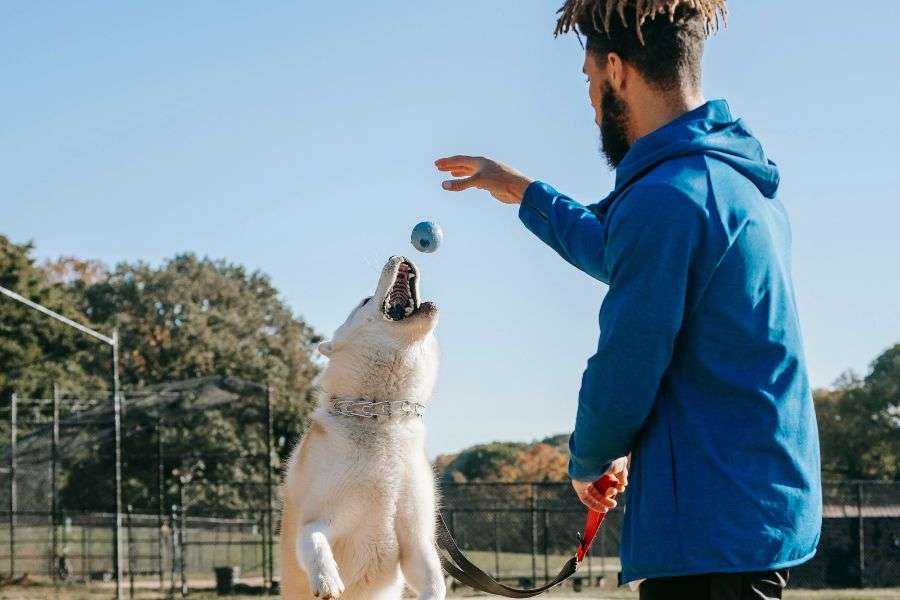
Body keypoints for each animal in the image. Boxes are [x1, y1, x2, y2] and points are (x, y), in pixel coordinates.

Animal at [282, 256, 446, 600]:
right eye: (365, 301)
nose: (398, 256)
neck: (381, 413)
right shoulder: (320, 517)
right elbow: (312, 538)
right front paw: (326, 579)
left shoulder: (416, 541)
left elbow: (435, 580)